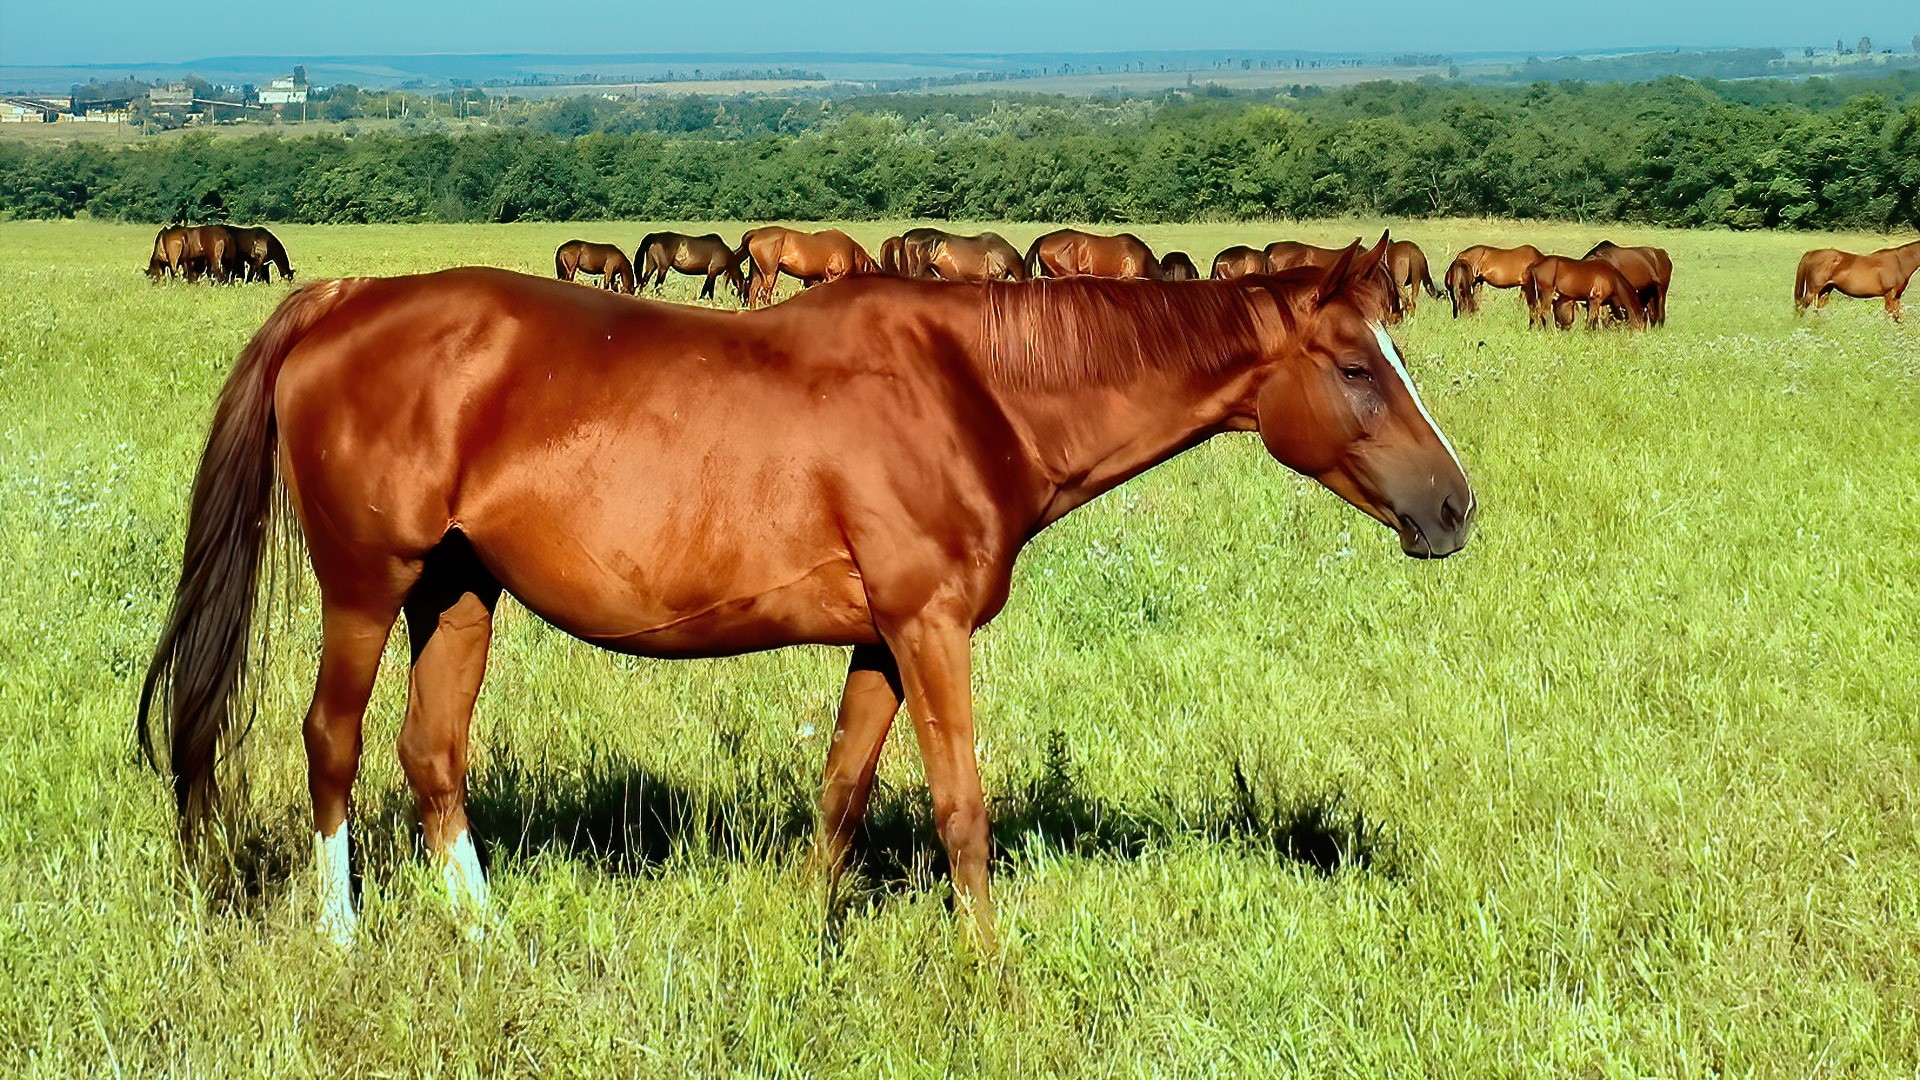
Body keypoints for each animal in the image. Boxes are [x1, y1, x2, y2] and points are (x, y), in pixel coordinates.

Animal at [137, 235, 1473, 949]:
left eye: (1397, 354)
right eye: (1357, 369)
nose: (1455, 508)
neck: (972, 389)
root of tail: (347, 299)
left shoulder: (882, 641)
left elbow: (840, 799)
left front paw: (795, 940)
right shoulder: (930, 630)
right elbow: (961, 809)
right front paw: (989, 971)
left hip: (461, 593)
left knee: (433, 755)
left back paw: (490, 935)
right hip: (370, 589)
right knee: (333, 742)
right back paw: (343, 934)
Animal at [739, 226, 879, 307]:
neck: (852, 252)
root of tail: (754, 233)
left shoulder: (816, 280)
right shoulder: (834, 276)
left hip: (758, 273)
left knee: (752, 294)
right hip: (769, 274)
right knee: (764, 295)